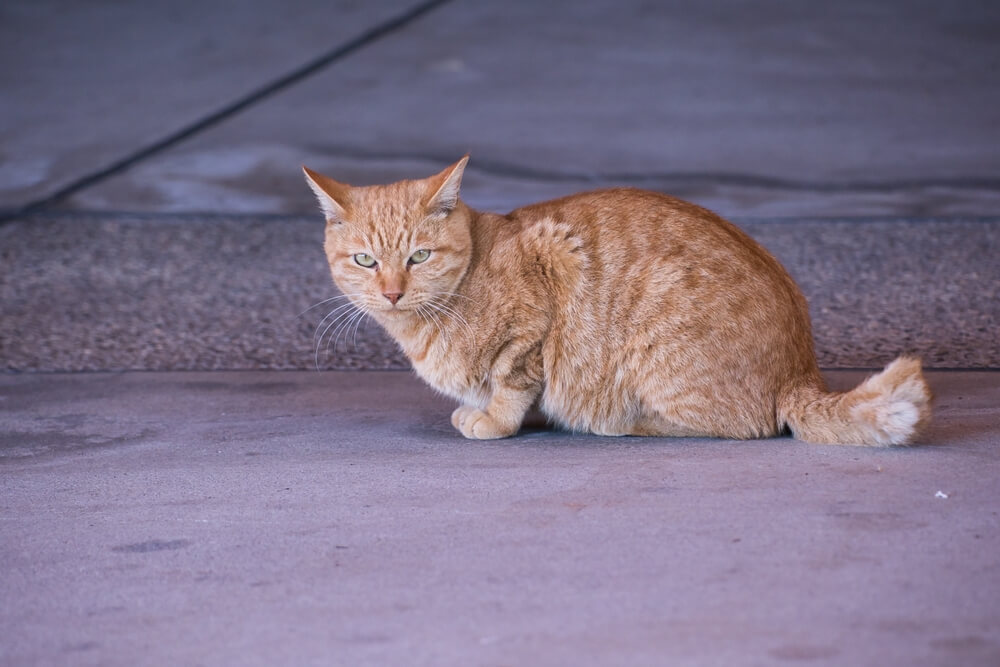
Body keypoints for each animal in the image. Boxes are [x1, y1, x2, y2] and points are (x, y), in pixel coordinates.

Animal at [302, 157, 928, 446]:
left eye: (419, 257)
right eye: (365, 261)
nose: (392, 292)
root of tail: (801, 372)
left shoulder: (539, 305)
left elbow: (512, 382)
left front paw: (495, 419)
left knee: (741, 425)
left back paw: (622, 422)